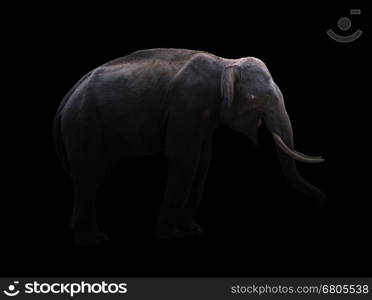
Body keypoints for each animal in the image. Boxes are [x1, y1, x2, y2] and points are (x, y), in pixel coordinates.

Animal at [53, 47, 324, 244]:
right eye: (258, 99)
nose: (321, 200)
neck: (225, 63)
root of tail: (67, 98)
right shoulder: (186, 106)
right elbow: (184, 160)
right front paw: (171, 235)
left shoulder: (204, 118)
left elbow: (202, 163)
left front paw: (193, 231)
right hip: (83, 126)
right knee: (91, 178)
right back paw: (93, 239)